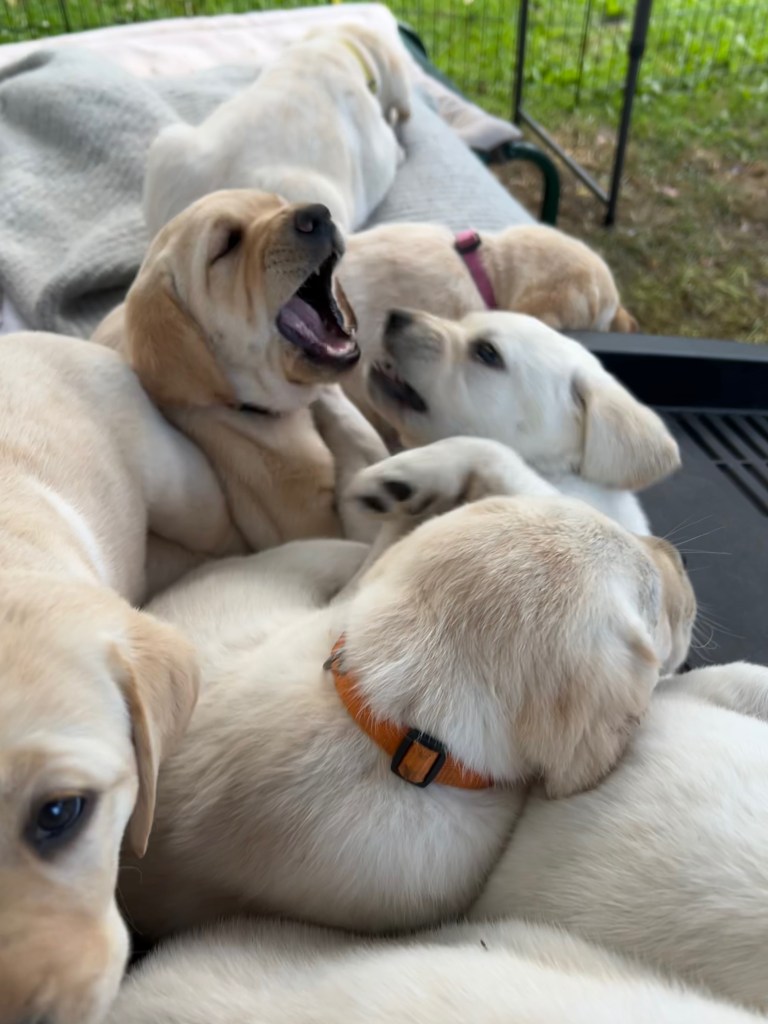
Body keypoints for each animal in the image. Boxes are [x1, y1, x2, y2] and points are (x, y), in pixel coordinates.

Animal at [361, 309, 679, 533]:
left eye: (487, 353)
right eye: (463, 319)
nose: (395, 316)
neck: (555, 472)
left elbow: (490, 448)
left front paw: (416, 469)